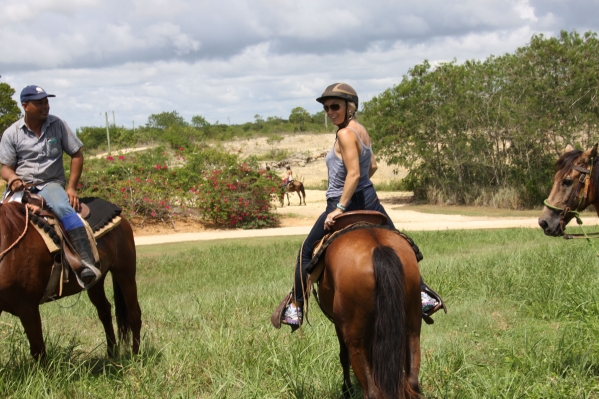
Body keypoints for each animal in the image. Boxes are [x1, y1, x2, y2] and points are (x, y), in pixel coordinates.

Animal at [0, 202, 142, 360]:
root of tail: (122, 217)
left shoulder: (28, 306)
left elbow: (38, 350)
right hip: (96, 283)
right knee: (105, 311)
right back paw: (112, 355)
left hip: (125, 273)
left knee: (134, 315)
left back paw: (135, 357)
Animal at [314, 227, 422, 398]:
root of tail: (379, 248)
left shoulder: (339, 326)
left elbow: (343, 356)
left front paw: (347, 390)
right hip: (412, 329)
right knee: (412, 381)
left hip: (356, 342)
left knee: (371, 391)